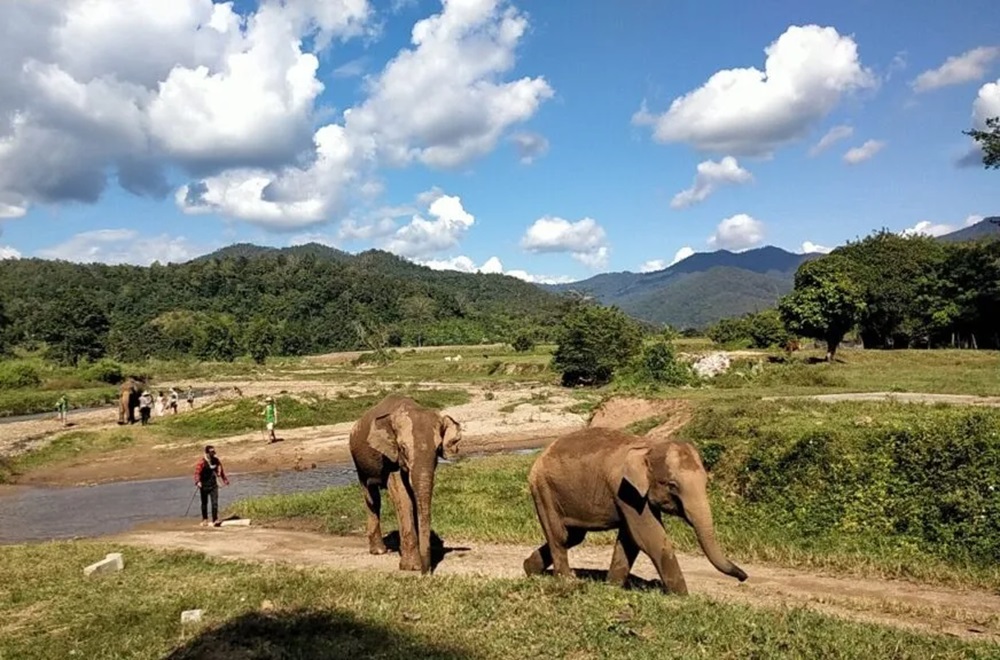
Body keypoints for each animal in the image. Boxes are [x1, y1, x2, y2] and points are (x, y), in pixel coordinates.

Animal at [350, 394, 462, 576]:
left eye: (438, 448)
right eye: (402, 448)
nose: (426, 573)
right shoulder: (391, 458)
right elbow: (402, 495)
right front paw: (412, 568)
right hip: (359, 463)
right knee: (372, 498)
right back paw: (379, 551)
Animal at [524, 426, 744, 596]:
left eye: (706, 483)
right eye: (672, 486)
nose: (743, 577)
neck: (649, 446)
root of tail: (543, 453)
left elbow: (630, 539)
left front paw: (612, 587)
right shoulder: (625, 489)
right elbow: (649, 536)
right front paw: (683, 597)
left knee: (574, 537)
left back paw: (529, 570)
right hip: (543, 489)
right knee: (560, 536)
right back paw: (567, 581)